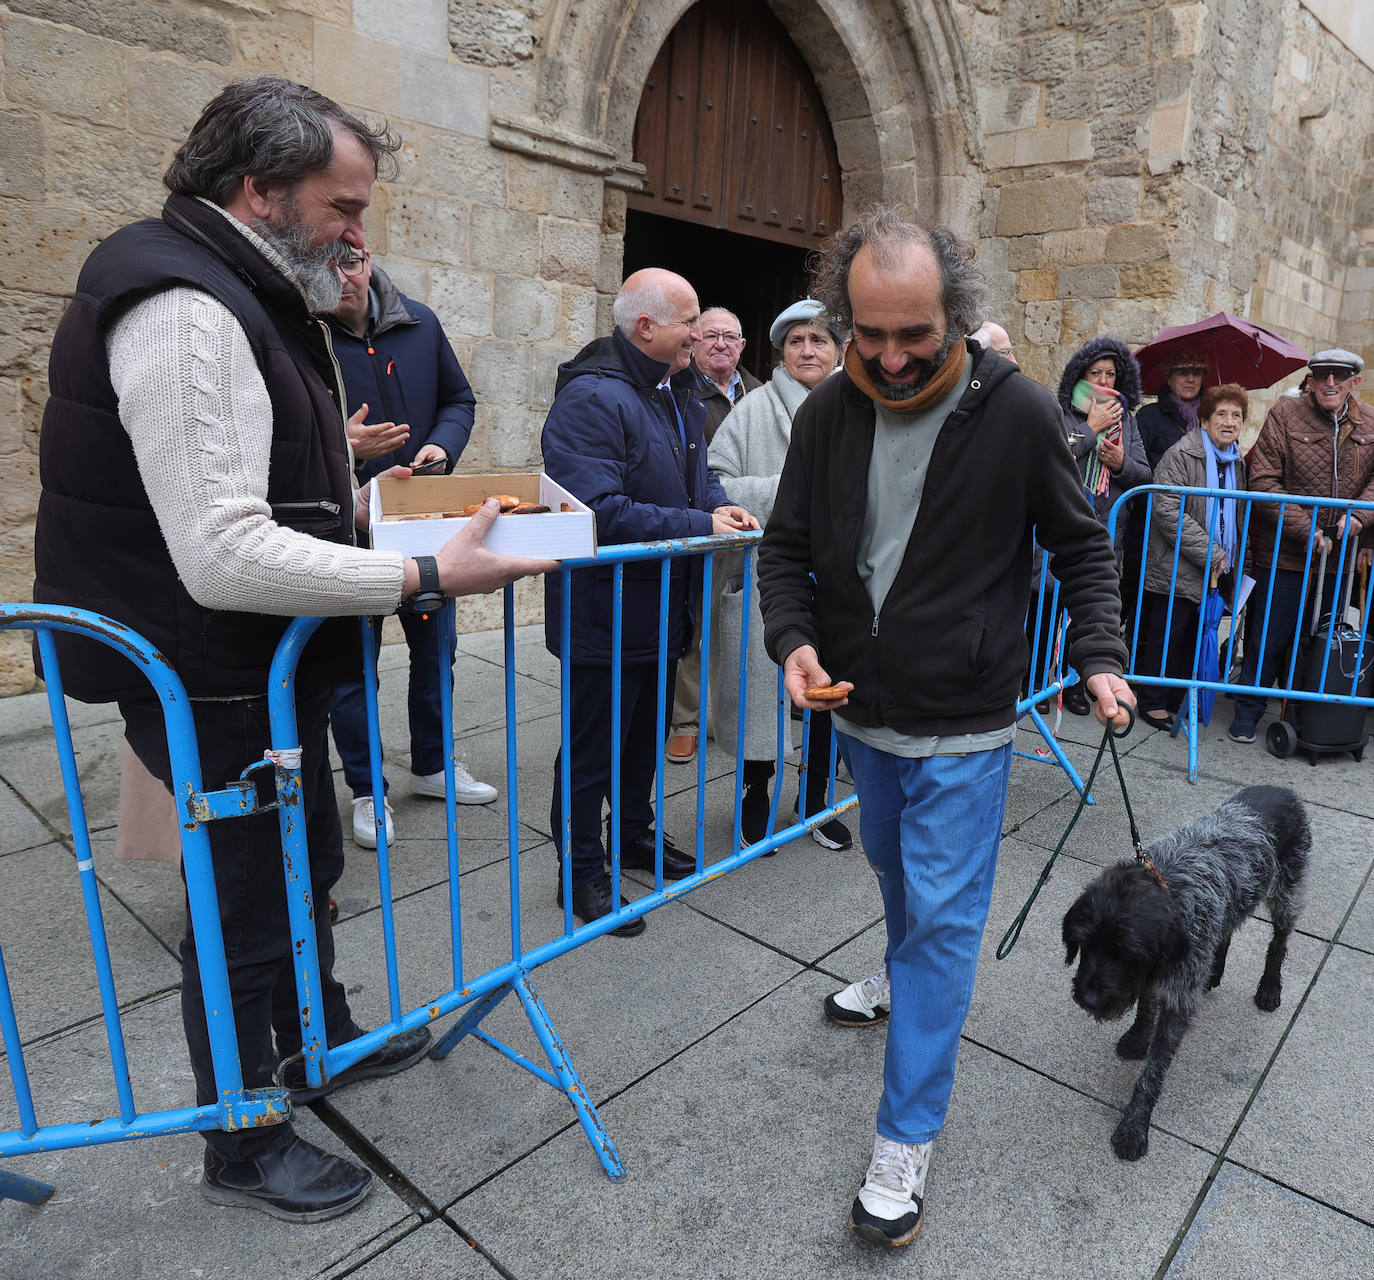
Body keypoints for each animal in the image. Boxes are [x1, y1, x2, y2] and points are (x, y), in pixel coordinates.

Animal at [1060, 785, 1308, 1164]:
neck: (1171, 882)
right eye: (1084, 944)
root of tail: (1283, 790)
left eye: (1127, 953)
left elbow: (1153, 1072)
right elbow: (1145, 1006)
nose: (1088, 998)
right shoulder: (1158, 972)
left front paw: (1134, 1127)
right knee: (1226, 931)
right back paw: (1214, 973)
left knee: (1279, 940)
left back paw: (1269, 987)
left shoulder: (1177, 999)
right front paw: (1138, 1037)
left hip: (1287, 891)